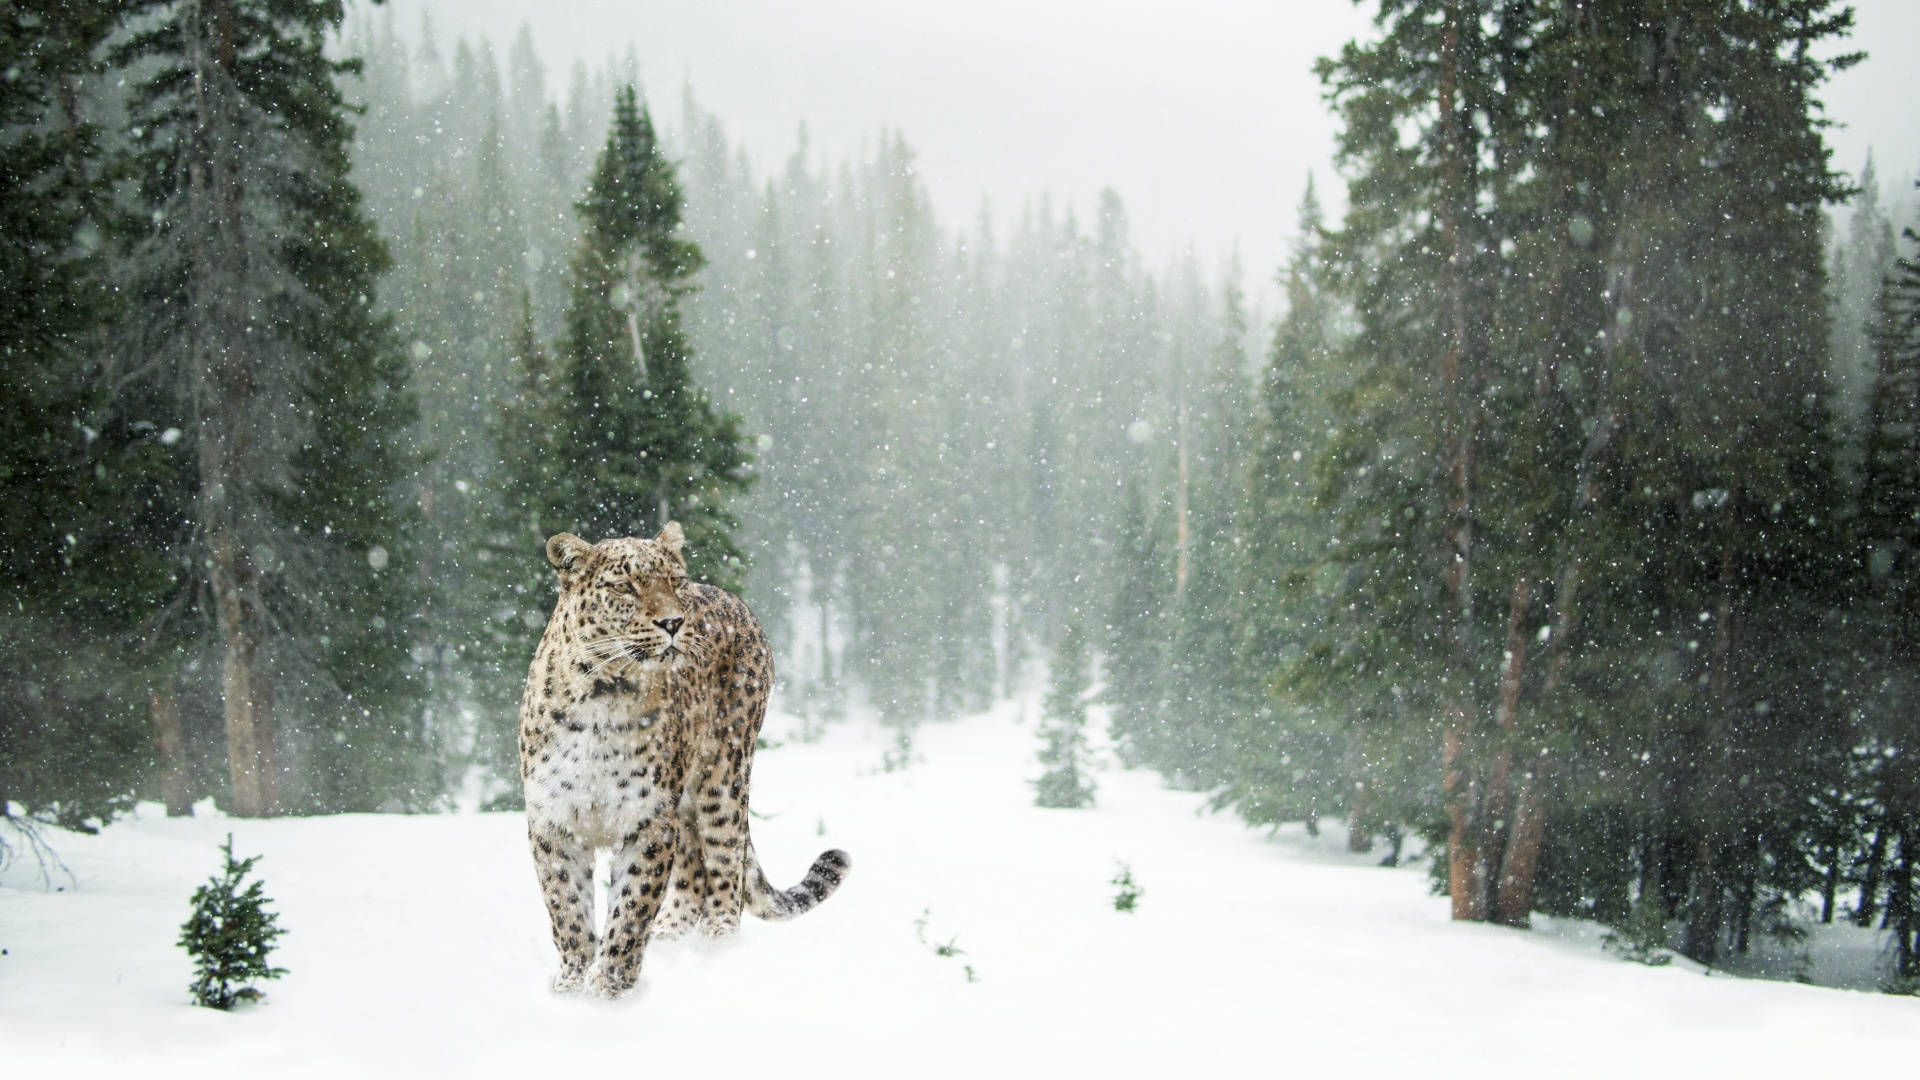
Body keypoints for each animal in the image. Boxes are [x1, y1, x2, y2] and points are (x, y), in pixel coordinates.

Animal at [518, 522, 849, 998]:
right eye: (624, 587)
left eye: (675, 582)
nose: (673, 622)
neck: (604, 695)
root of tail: (734, 600)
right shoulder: (554, 821)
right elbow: (567, 910)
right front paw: (572, 984)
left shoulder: (649, 820)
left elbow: (631, 908)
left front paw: (609, 988)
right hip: (688, 802)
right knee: (693, 868)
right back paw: (672, 937)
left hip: (723, 777)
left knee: (726, 863)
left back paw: (716, 946)